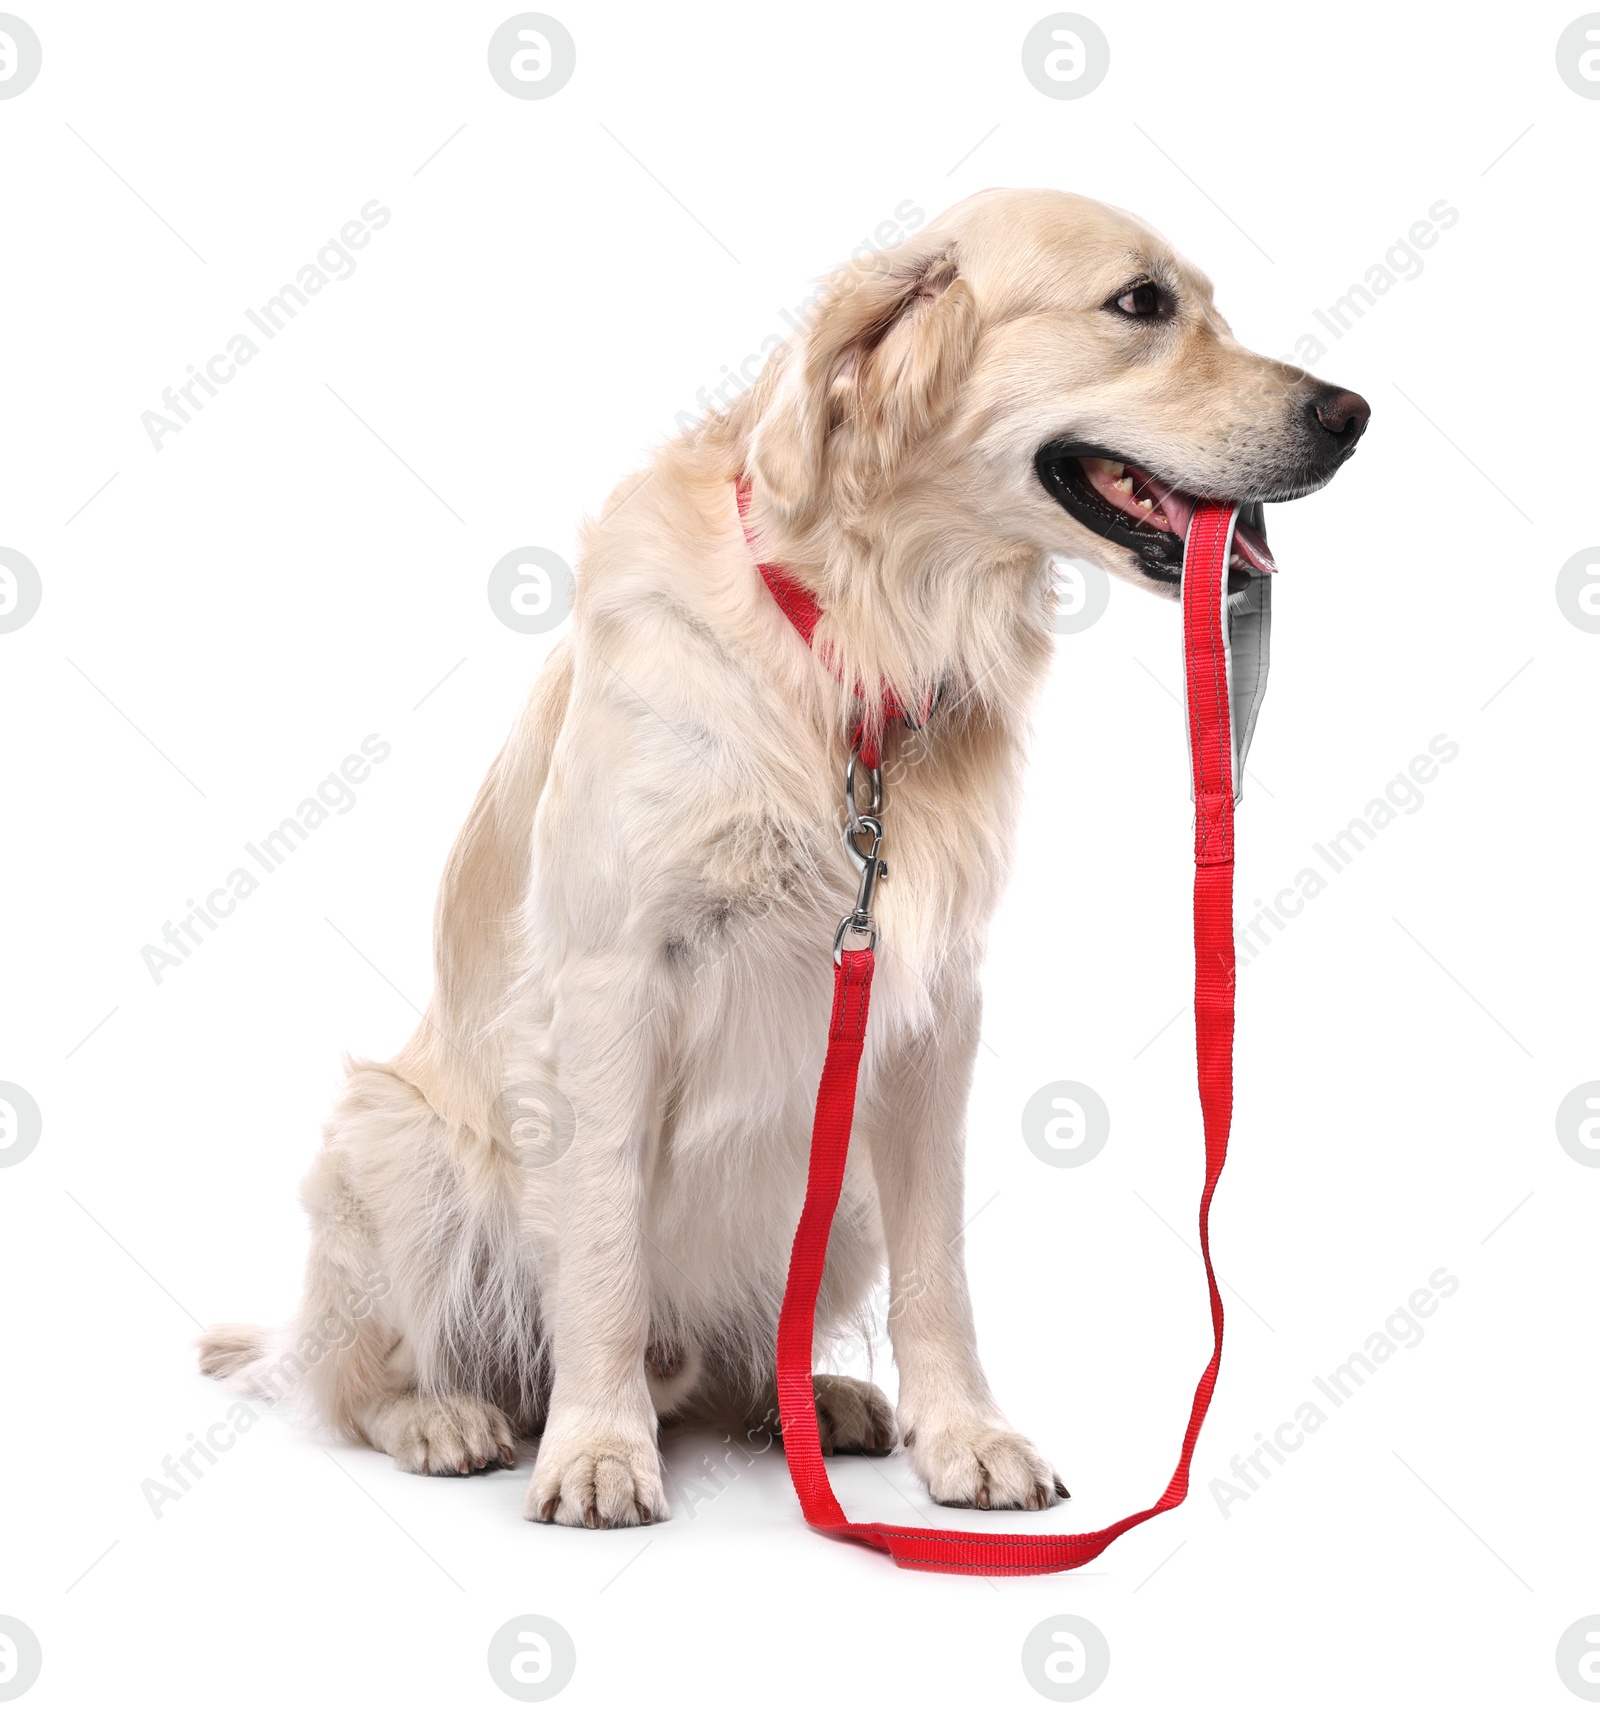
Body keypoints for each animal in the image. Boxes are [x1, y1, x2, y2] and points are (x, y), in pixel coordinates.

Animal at [200, 187, 1366, 1530]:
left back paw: (810, 1395)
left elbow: (939, 1265)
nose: (1351, 413)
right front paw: (597, 1450)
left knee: (733, 1351)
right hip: (396, 1143)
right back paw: (448, 1416)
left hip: (831, 1181)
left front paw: (964, 1434)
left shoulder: (932, 1001)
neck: (862, 640)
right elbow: (601, 1246)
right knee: (353, 1375)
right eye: (1141, 303)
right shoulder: (612, 981)